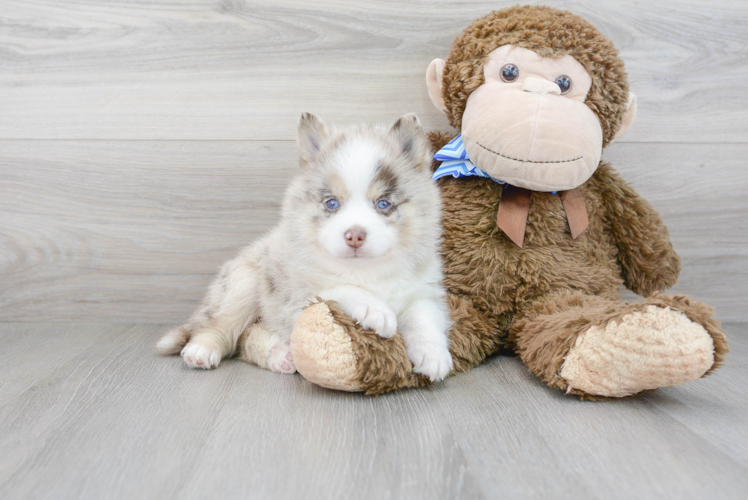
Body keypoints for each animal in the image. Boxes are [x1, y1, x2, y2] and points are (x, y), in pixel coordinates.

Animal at [155, 111, 452, 380]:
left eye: (383, 204)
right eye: (331, 203)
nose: (354, 235)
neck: (365, 270)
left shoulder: (422, 289)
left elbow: (424, 316)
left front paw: (434, 354)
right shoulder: (298, 297)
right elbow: (341, 288)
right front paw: (375, 309)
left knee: (245, 338)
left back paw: (280, 355)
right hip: (243, 283)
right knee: (222, 327)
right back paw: (203, 349)